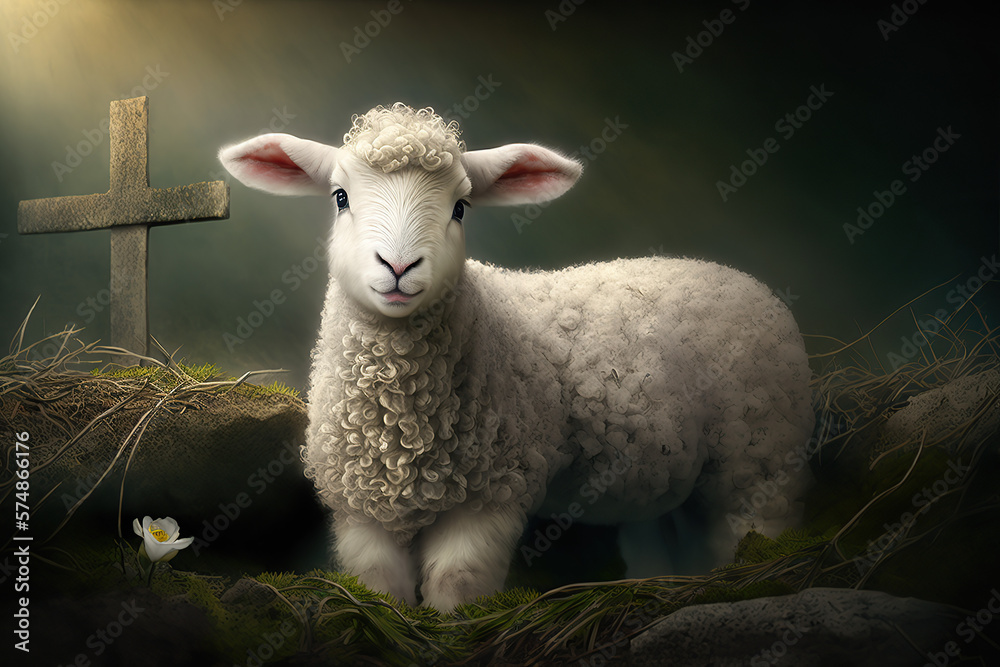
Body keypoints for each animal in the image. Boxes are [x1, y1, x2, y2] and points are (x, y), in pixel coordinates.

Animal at [218, 103, 815, 612]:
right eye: (340, 197)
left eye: (460, 207)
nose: (398, 266)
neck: (403, 420)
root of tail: (746, 281)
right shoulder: (360, 504)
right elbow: (380, 589)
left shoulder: (493, 493)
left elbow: (455, 587)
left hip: (762, 455)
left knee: (755, 528)